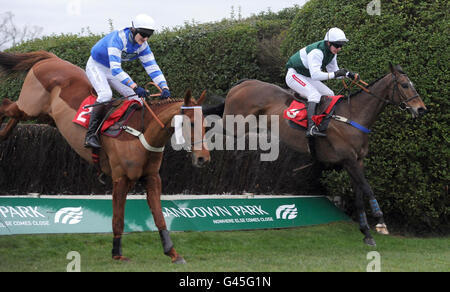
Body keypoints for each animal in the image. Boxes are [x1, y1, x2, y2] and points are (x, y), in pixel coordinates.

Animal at [0, 50, 211, 262]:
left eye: (205, 124)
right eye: (191, 123)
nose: (203, 158)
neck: (140, 133)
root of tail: (52, 58)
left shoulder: (152, 178)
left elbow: (159, 216)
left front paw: (173, 253)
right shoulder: (121, 179)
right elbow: (118, 218)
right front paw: (117, 254)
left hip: (45, 116)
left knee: (12, 115)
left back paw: (3, 135)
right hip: (30, 106)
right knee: (6, 105)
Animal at [208, 64, 426, 246]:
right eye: (405, 85)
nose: (421, 109)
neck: (353, 116)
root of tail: (242, 83)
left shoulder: (356, 162)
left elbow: (358, 195)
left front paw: (366, 233)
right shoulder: (348, 159)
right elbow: (367, 188)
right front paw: (380, 222)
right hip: (233, 124)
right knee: (211, 126)